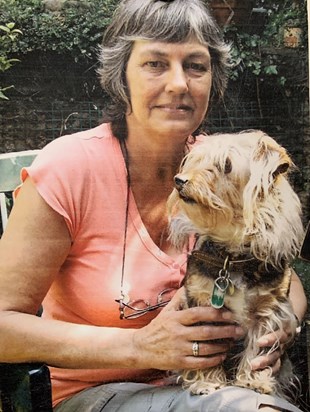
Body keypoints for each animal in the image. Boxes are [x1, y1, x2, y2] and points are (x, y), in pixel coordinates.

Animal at [167, 130, 302, 398]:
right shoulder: (202, 305)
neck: (233, 256)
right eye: (195, 160)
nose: (179, 180)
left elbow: (258, 348)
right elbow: (205, 350)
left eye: (226, 165)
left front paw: (253, 381)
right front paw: (207, 382)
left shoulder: (269, 309)